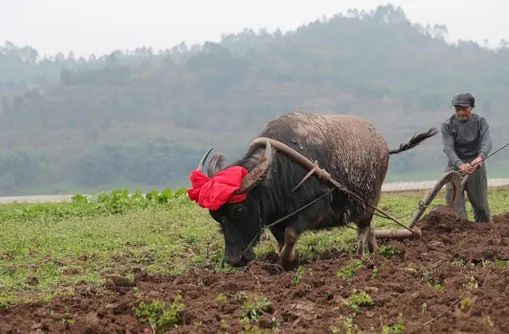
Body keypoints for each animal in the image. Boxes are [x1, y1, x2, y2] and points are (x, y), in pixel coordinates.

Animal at [190, 112, 436, 268]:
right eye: (216, 216)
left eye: (239, 210)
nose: (233, 261)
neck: (281, 172)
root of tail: (383, 146)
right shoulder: (277, 218)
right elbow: (282, 239)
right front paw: (291, 260)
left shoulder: (316, 209)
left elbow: (291, 233)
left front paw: (287, 260)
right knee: (370, 226)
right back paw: (374, 249)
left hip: (369, 198)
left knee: (363, 227)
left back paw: (360, 255)